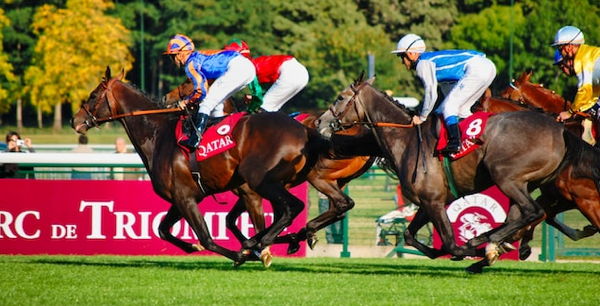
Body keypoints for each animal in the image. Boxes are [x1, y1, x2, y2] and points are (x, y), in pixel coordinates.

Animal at [73, 66, 332, 266]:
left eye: (93, 95)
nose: (75, 120)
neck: (158, 134)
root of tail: (305, 131)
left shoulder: (188, 197)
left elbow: (207, 237)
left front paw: (245, 254)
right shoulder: (181, 197)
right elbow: (163, 229)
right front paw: (194, 247)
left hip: (261, 179)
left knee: (292, 207)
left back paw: (262, 242)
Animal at [163, 78, 376, 253]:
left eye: (187, 82)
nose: (166, 97)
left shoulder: (252, 190)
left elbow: (249, 220)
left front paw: (259, 247)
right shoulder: (255, 189)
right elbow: (232, 220)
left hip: (317, 176)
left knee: (339, 205)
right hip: (336, 180)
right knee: (339, 209)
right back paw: (303, 235)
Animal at [316, 76, 592, 270]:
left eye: (340, 97)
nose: (320, 121)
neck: (406, 139)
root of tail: (560, 130)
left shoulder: (434, 202)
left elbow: (450, 241)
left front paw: (470, 251)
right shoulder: (428, 202)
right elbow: (409, 235)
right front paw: (446, 252)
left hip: (507, 178)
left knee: (533, 211)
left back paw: (487, 243)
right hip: (530, 183)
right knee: (528, 214)